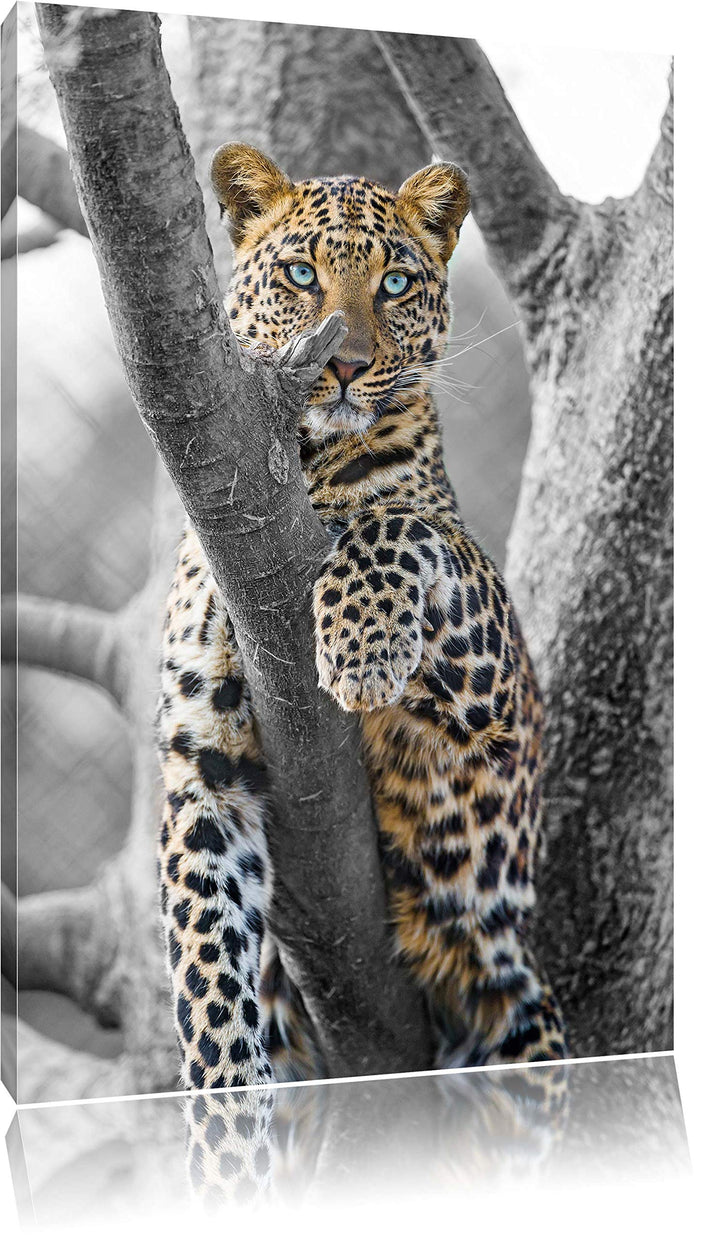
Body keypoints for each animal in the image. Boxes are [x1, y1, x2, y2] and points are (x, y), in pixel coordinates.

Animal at [156, 143, 567, 1104]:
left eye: (396, 283)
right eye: (302, 275)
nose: (341, 365)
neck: (300, 470)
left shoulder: (494, 701)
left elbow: (399, 524)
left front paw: (361, 649)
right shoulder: (202, 764)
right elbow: (205, 966)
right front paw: (224, 1121)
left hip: (521, 1010)